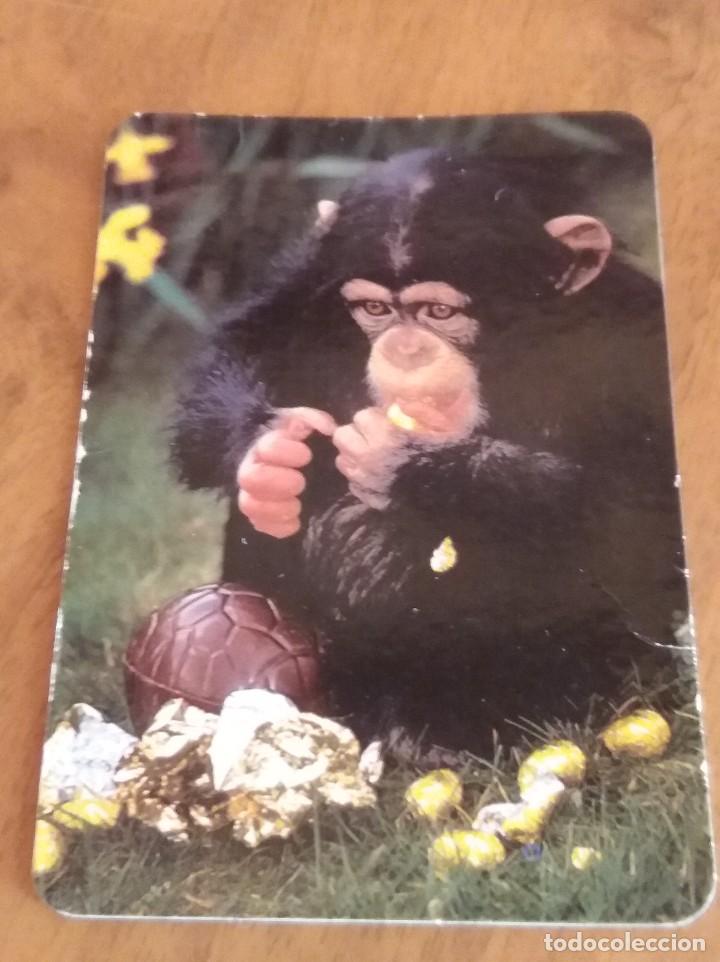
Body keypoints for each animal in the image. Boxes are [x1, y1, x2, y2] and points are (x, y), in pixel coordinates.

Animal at [172, 147, 687, 756]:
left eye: (439, 314)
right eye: (375, 308)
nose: (405, 349)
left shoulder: (632, 344)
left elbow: (634, 514)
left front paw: (407, 464)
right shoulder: (304, 282)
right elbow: (249, 339)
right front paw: (269, 455)